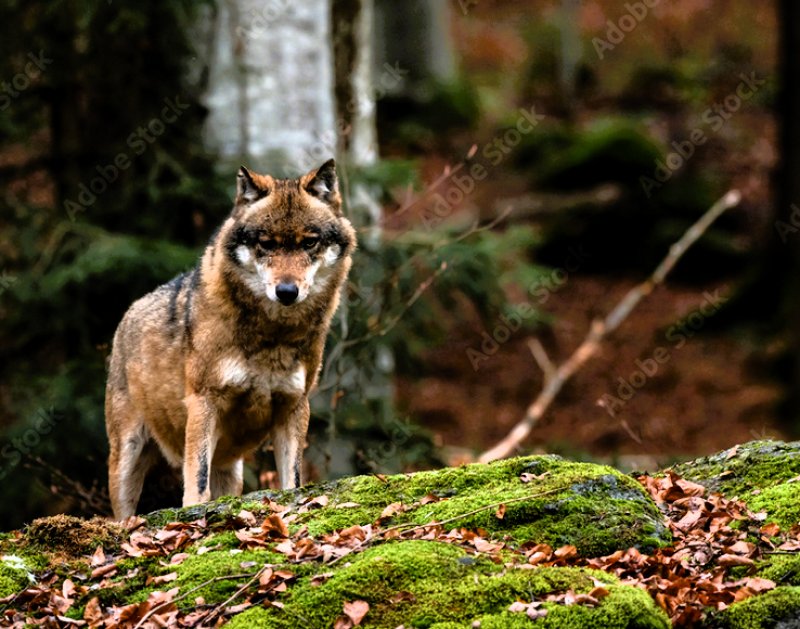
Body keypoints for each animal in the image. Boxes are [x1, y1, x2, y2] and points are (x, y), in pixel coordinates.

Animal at [105, 160, 356, 520]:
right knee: (123, 513)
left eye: (309, 243)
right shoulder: (204, 401)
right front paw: (193, 512)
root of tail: (129, 312)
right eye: (266, 243)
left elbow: (292, 479)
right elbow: (197, 479)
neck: (272, 336)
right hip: (128, 456)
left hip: (230, 469)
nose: (287, 291)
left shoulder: (295, 405)